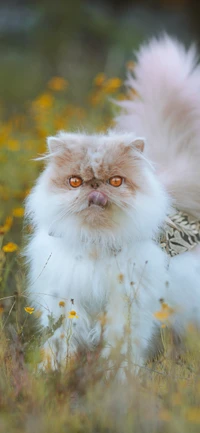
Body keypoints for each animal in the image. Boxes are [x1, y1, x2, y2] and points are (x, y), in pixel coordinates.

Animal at [25, 35, 200, 370]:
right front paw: (55, 371)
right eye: (75, 182)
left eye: (115, 181)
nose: (95, 187)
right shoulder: (67, 298)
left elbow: (120, 350)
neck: (96, 243)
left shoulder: (128, 305)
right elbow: (62, 342)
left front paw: (114, 377)